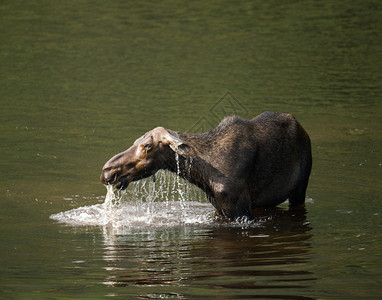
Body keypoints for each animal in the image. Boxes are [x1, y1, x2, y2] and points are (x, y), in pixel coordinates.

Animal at [100, 111, 312, 219]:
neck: (203, 175)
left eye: (147, 146)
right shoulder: (220, 207)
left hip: (300, 187)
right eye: (136, 141)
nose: (107, 171)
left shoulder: (240, 209)